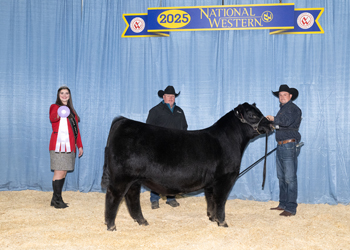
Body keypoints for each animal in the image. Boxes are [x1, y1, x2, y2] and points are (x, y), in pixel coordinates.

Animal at [100, 101, 272, 230]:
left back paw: (142, 221)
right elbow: (220, 201)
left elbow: (210, 199)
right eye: (252, 115)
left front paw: (212, 218)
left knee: (132, 197)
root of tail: (124, 121)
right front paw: (222, 223)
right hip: (121, 177)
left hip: (134, 179)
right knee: (113, 196)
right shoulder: (225, 179)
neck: (229, 140)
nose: (271, 124)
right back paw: (111, 226)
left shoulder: (211, 183)